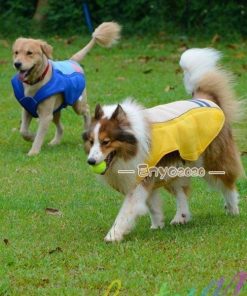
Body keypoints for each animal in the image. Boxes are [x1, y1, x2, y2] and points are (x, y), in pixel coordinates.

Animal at [82, 48, 243, 242]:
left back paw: (233, 209)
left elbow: (126, 212)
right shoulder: (147, 177)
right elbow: (153, 205)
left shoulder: (140, 180)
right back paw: (181, 218)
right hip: (175, 168)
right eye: (91, 141)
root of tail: (208, 100)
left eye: (106, 142)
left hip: (213, 160)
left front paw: (113, 235)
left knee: (228, 183)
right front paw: (157, 225)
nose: (90, 161)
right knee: (182, 192)